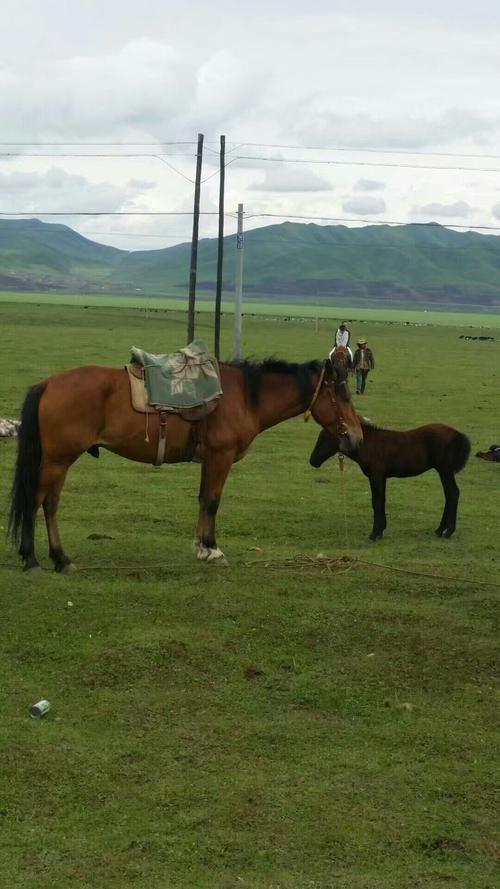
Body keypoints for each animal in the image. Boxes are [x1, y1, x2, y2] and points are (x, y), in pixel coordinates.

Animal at [8, 351, 363, 573]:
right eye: (343, 396)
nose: (357, 438)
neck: (243, 397)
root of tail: (49, 383)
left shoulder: (210, 460)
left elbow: (204, 499)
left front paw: (201, 548)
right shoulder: (221, 456)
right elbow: (213, 501)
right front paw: (213, 549)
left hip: (60, 460)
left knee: (50, 504)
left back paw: (61, 559)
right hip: (57, 459)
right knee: (35, 501)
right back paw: (32, 560)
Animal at [309, 418, 470, 540]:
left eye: (325, 438)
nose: (312, 461)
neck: (368, 445)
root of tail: (458, 434)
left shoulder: (376, 476)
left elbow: (376, 501)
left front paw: (375, 533)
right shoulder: (382, 477)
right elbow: (382, 501)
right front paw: (381, 530)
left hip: (445, 470)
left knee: (453, 493)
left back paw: (448, 531)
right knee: (449, 495)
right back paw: (440, 530)